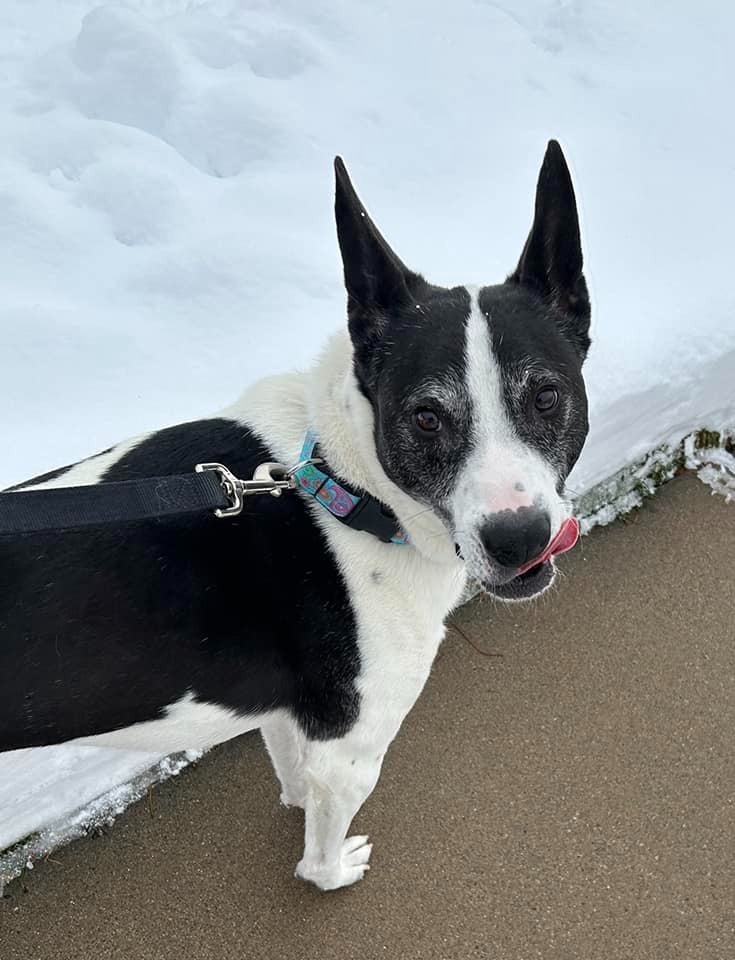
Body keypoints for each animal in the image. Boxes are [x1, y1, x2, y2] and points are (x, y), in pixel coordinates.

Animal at [0, 141, 588, 892]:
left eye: (545, 396)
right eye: (426, 416)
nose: (518, 539)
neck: (347, 486)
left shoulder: (288, 714)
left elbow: (292, 776)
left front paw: (294, 800)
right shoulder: (350, 753)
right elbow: (318, 854)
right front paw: (333, 871)